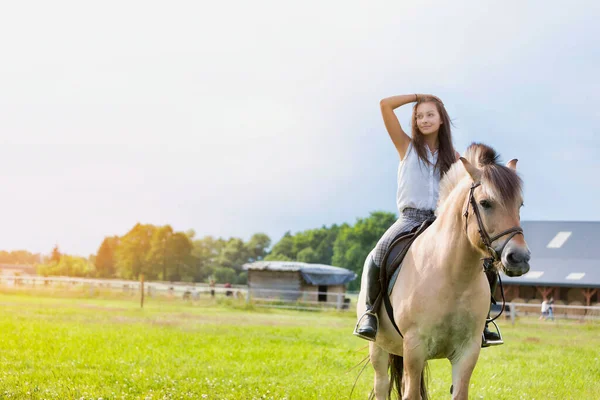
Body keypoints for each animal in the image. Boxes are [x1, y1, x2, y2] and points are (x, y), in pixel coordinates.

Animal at [356, 144, 528, 400]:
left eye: (520, 204)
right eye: (485, 203)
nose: (519, 258)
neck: (453, 277)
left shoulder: (467, 352)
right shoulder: (415, 347)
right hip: (379, 347)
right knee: (382, 385)